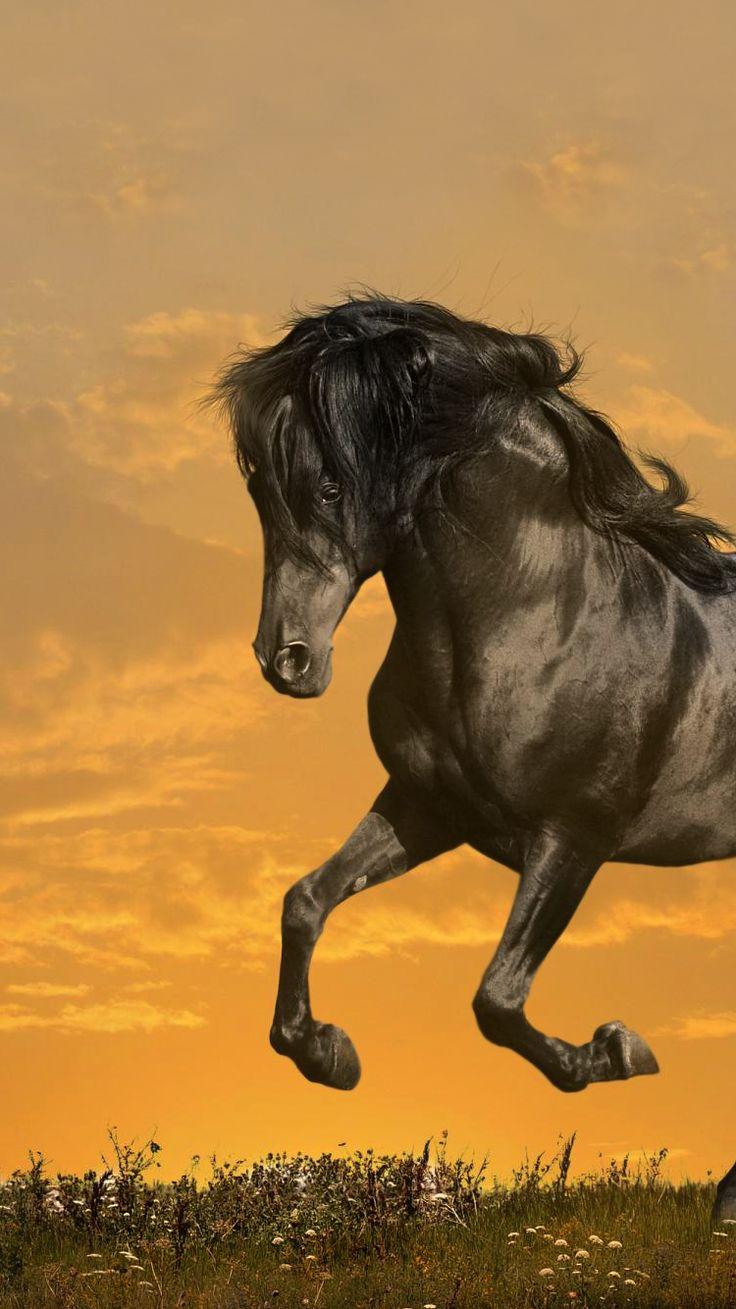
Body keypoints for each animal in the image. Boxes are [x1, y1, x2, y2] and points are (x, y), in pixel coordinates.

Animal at [210, 291, 736, 1218]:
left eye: (330, 481)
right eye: (257, 485)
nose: (287, 660)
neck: (543, 614)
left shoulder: (572, 841)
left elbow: (496, 999)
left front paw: (616, 1049)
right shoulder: (429, 806)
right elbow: (305, 901)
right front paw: (327, 1052)